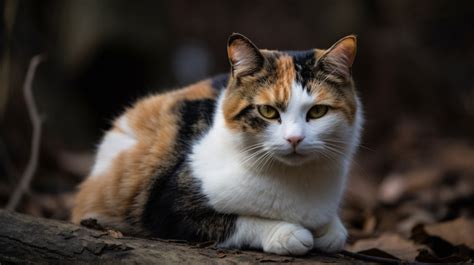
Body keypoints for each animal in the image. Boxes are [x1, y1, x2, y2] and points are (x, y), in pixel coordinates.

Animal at [71, 33, 362, 254]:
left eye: (317, 111)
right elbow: (238, 221)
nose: (294, 138)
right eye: (268, 111)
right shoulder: (167, 209)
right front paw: (286, 233)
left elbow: (336, 235)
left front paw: (329, 230)